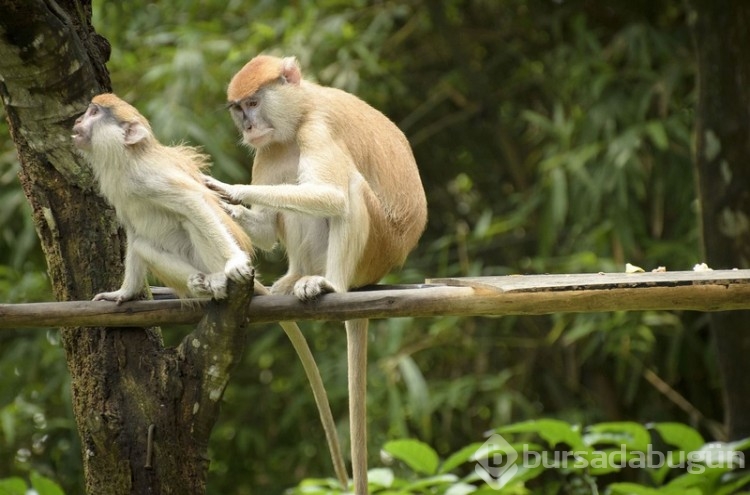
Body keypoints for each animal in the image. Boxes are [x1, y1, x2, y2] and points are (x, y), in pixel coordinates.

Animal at [72, 95, 350, 490]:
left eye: (95, 113)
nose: (77, 121)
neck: (126, 160)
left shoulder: (151, 178)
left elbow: (195, 205)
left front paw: (234, 261)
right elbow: (134, 236)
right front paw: (123, 294)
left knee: (189, 221)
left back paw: (219, 280)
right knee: (142, 243)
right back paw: (198, 285)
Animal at [210, 56, 428, 494]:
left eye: (254, 102)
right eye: (238, 109)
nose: (248, 127)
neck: (301, 107)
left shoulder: (317, 129)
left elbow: (333, 195)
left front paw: (229, 189)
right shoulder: (270, 146)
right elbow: (265, 227)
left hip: (376, 249)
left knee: (348, 191)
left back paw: (330, 284)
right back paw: (293, 278)